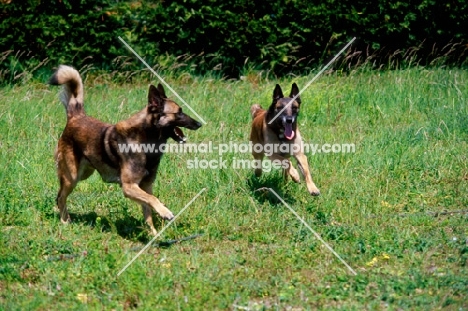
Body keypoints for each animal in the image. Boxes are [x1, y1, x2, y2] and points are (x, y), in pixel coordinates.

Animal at [50, 66, 202, 236]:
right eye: (179, 112)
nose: (199, 124)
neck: (145, 141)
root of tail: (76, 117)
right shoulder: (129, 186)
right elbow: (153, 199)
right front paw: (165, 212)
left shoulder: (145, 186)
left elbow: (148, 210)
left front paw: (153, 234)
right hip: (72, 176)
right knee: (60, 197)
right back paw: (65, 221)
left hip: (84, 173)